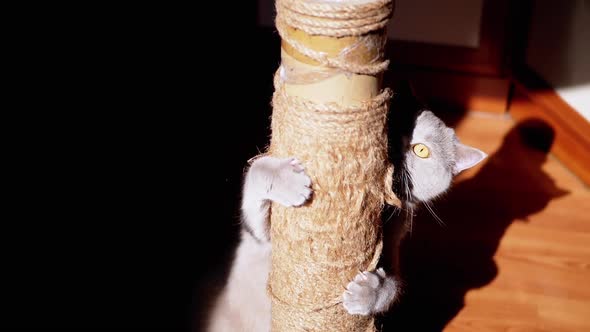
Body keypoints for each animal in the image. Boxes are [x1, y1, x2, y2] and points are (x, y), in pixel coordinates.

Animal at [208, 110, 486, 330]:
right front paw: (290, 180)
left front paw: (367, 292)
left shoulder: (391, 248)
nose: (397, 140)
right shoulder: (262, 237)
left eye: (422, 150)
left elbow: (393, 286)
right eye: (396, 118)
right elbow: (258, 171)